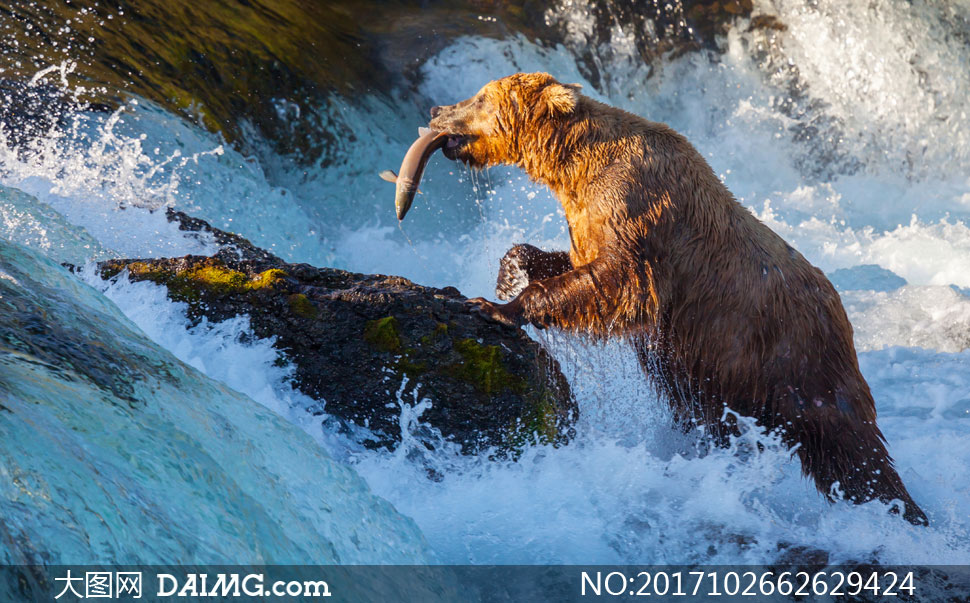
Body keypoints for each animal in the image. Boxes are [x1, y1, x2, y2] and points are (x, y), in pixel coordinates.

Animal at [428, 69, 928, 524]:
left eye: (480, 96)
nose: (436, 111)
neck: (575, 167)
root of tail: (842, 310)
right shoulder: (588, 219)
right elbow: (571, 264)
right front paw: (509, 272)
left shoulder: (637, 212)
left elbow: (615, 282)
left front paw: (496, 307)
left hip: (794, 359)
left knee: (850, 447)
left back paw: (902, 512)